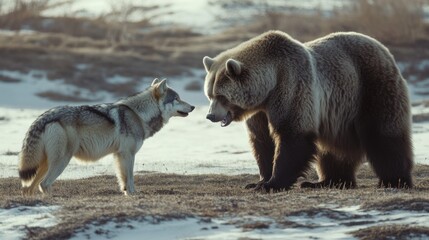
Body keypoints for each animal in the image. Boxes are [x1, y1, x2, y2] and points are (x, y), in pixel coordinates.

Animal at [18, 79, 194, 195]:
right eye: (177, 98)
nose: (193, 106)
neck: (138, 115)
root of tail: (45, 115)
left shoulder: (118, 155)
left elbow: (123, 179)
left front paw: (127, 193)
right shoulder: (128, 154)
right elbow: (130, 177)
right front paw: (133, 194)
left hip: (44, 164)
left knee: (30, 187)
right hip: (62, 161)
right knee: (44, 184)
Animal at [202, 30, 412, 191]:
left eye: (221, 96)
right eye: (209, 94)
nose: (210, 115)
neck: (269, 85)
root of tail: (382, 47)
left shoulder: (292, 86)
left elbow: (292, 136)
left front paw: (272, 183)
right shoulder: (260, 113)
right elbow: (262, 141)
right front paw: (259, 181)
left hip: (371, 88)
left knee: (384, 136)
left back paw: (395, 180)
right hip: (340, 116)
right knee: (334, 151)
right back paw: (328, 181)